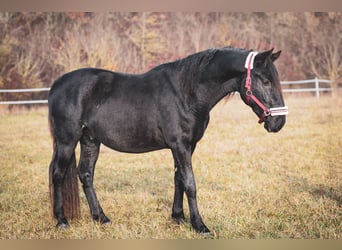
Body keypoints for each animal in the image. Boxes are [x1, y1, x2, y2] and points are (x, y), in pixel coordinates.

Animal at [48, 47, 288, 234]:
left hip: (90, 139)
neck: (186, 93)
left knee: (85, 174)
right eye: (266, 81)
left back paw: (101, 217)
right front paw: (199, 225)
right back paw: (62, 220)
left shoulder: (187, 146)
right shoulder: (179, 145)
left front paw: (178, 217)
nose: (279, 122)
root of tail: (56, 85)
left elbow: (178, 179)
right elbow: (190, 183)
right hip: (67, 140)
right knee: (58, 174)